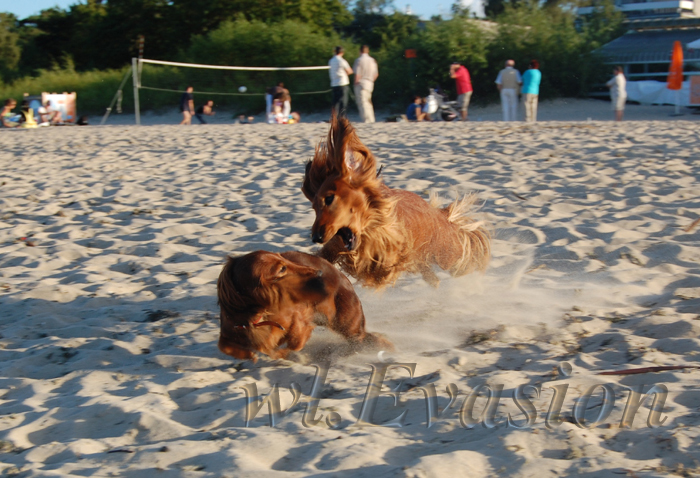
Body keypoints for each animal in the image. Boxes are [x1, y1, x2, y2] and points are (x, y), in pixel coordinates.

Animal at [217, 250, 392, 361]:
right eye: (282, 269)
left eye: (284, 259)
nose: (319, 273)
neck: (261, 315)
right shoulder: (230, 330)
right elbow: (224, 346)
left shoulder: (302, 317)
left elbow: (295, 340)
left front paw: (284, 353)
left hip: (347, 326)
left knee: (364, 340)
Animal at [302, 115, 490, 288]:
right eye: (314, 207)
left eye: (329, 198)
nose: (316, 237)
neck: (370, 228)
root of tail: (440, 214)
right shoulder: (336, 245)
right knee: (434, 278)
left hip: (447, 250)